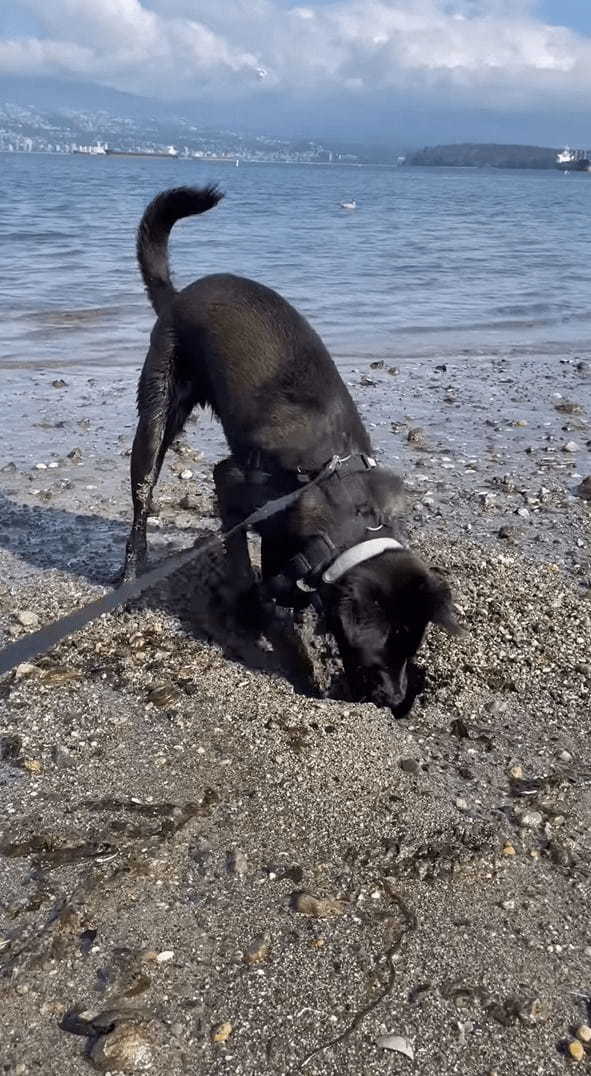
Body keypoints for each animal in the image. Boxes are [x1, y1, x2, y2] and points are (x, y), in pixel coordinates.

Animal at [122, 187, 458, 714]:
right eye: (381, 649)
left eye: (412, 648)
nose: (395, 699)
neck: (346, 500)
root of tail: (178, 296)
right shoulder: (233, 483)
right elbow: (246, 569)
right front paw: (258, 621)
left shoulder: (290, 533)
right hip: (157, 414)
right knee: (141, 497)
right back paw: (129, 577)